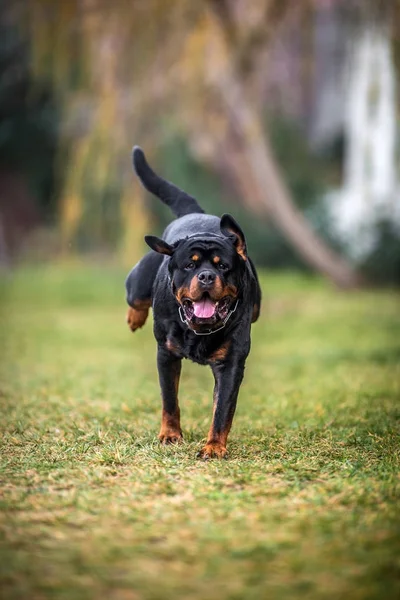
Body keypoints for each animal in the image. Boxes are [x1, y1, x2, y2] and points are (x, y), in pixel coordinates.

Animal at [126, 148, 260, 458]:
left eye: (223, 266)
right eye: (189, 265)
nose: (207, 276)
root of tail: (193, 212)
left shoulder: (231, 364)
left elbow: (222, 410)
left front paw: (213, 447)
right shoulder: (166, 354)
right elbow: (169, 399)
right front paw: (170, 434)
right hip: (138, 281)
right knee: (135, 297)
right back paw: (135, 317)